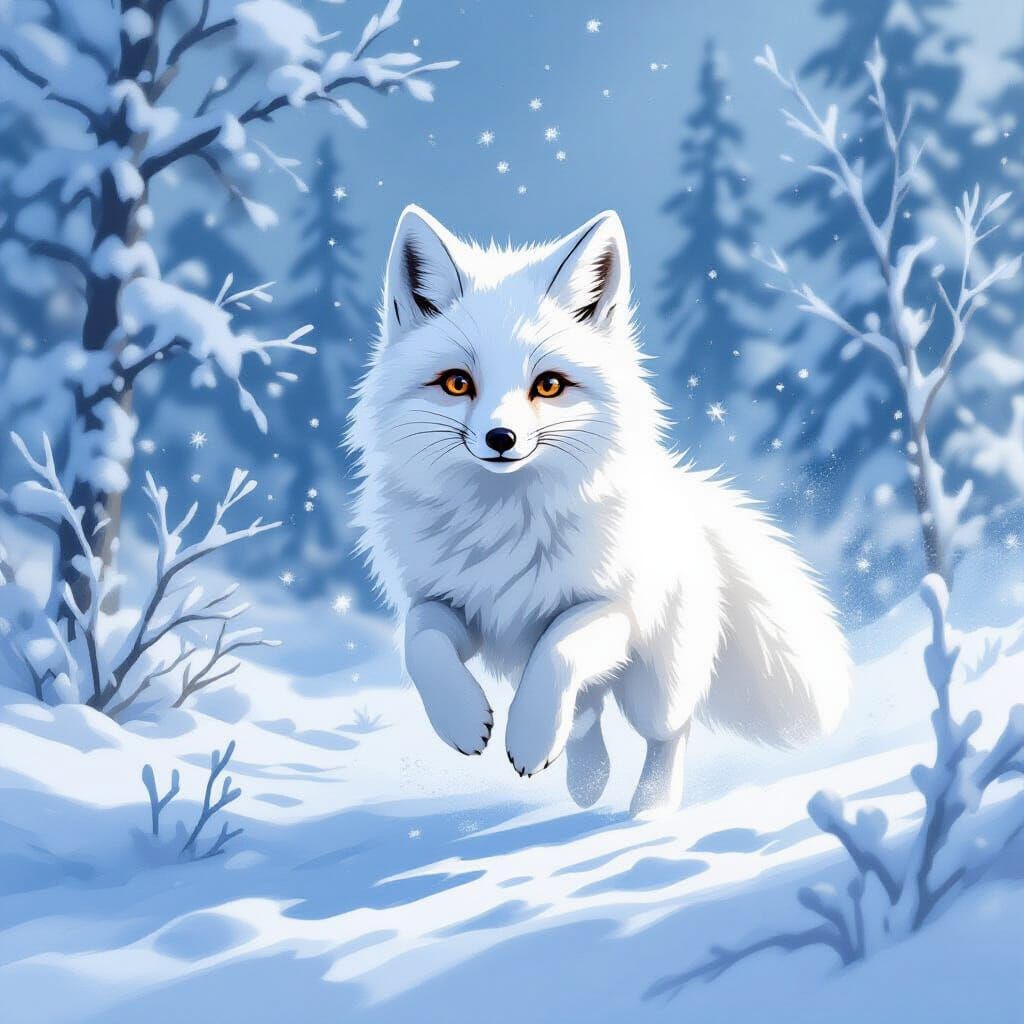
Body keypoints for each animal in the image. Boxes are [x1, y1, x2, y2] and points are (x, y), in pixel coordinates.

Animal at [348, 205, 851, 817]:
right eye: (457, 383)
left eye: (548, 386)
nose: (500, 438)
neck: (506, 524)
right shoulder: (452, 604)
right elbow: (420, 643)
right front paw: (464, 720)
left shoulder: (614, 609)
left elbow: (558, 649)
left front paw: (529, 735)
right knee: (589, 712)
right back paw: (586, 781)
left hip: (655, 686)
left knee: (667, 729)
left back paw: (650, 810)